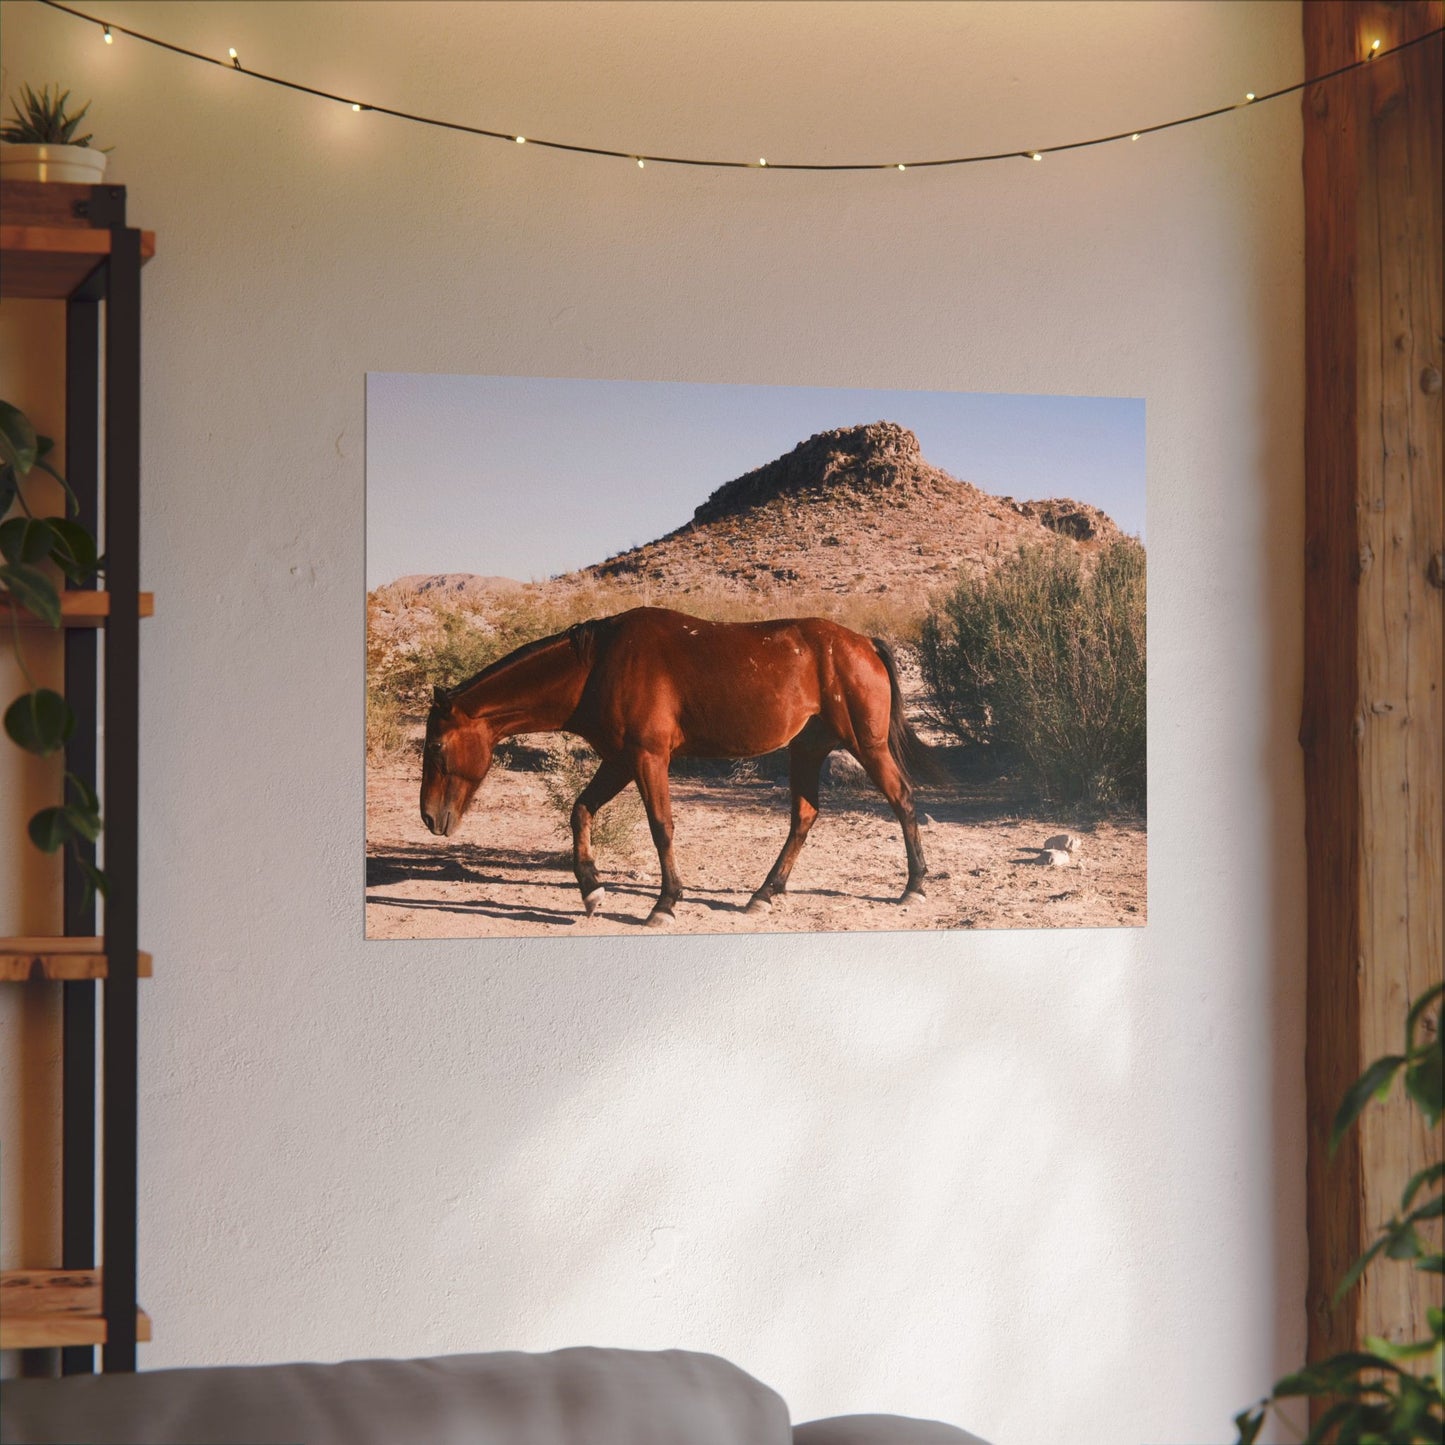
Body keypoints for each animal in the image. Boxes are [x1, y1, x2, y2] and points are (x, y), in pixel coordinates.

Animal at [418, 606, 936, 927]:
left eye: (438, 746)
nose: (429, 817)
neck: (597, 666)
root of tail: (863, 643)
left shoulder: (647, 758)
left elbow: (660, 826)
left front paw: (664, 904)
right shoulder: (620, 760)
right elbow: (580, 811)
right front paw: (591, 890)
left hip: (866, 745)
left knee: (902, 800)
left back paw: (914, 887)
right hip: (806, 751)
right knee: (804, 817)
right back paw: (764, 894)